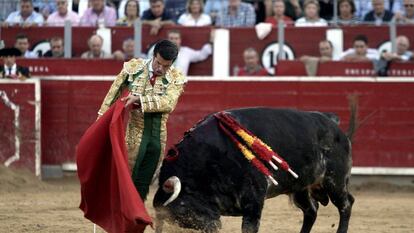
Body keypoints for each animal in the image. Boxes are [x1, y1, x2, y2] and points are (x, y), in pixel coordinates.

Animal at [152, 108, 356, 233]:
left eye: (184, 210)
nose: (214, 226)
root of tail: (331, 121)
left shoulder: (254, 201)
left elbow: (249, 227)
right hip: (300, 188)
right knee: (311, 211)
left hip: (334, 180)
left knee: (346, 204)